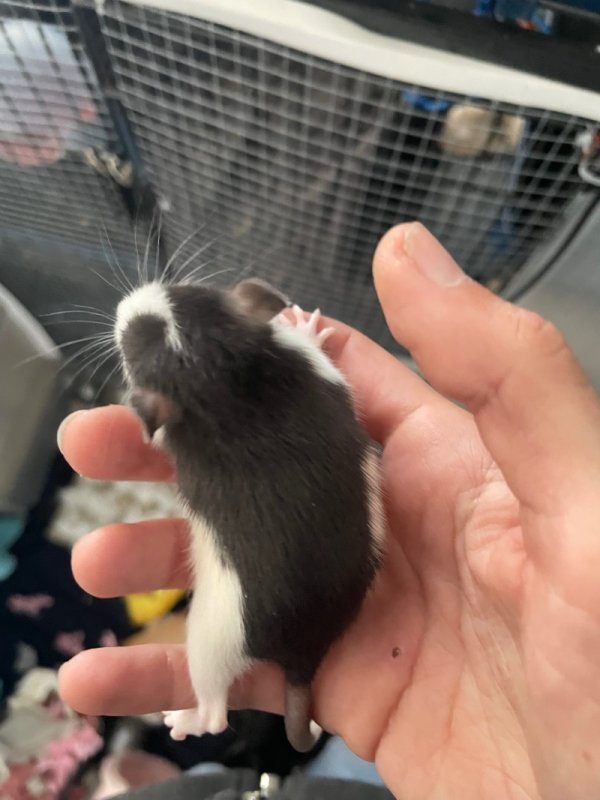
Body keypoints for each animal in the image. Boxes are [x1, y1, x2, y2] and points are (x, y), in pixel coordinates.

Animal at [114, 277, 384, 752]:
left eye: (132, 354)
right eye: (184, 291)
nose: (125, 308)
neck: (232, 383)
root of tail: (303, 655)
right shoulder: (314, 366)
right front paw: (307, 325)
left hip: (210, 642)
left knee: (216, 713)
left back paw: (187, 719)